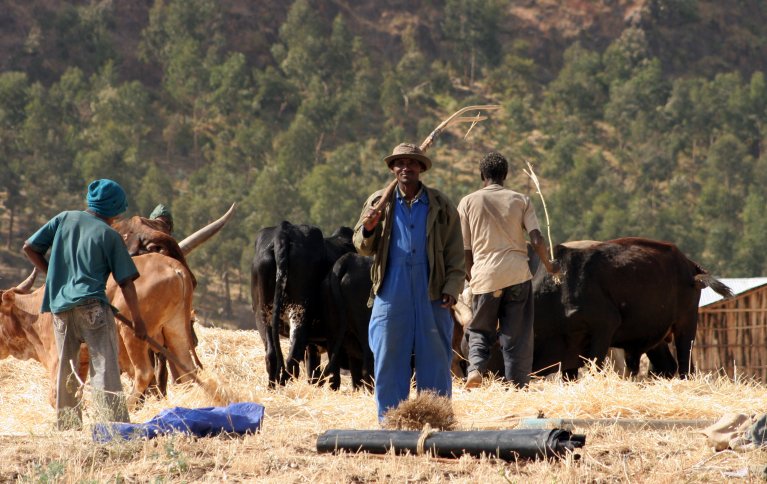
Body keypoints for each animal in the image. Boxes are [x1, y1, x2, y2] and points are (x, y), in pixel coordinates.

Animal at [0, 253, 198, 408]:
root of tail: (173, 265)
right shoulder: (82, 361)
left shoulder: (58, 357)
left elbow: (55, 396)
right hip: (175, 330)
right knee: (188, 370)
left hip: (131, 334)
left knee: (144, 373)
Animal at [252, 221, 354, 388]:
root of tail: (284, 231)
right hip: (299, 313)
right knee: (292, 358)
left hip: (263, 314)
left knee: (273, 356)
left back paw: (273, 387)